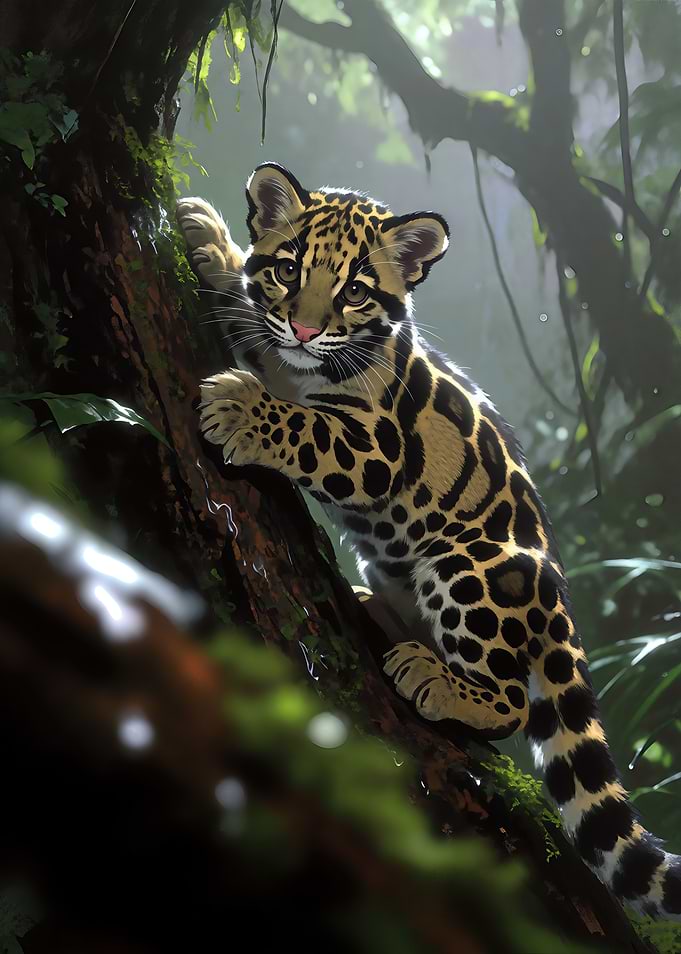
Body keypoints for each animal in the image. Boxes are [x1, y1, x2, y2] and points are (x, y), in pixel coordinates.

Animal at [177, 162, 681, 921]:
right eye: (290, 270)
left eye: (355, 291)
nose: (305, 326)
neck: (299, 367)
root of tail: (557, 597)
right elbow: (258, 325)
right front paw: (213, 245)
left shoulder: (370, 446)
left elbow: (302, 423)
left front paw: (242, 408)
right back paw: (375, 610)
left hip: (470, 566)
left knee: (510, 702)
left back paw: (436, 680)